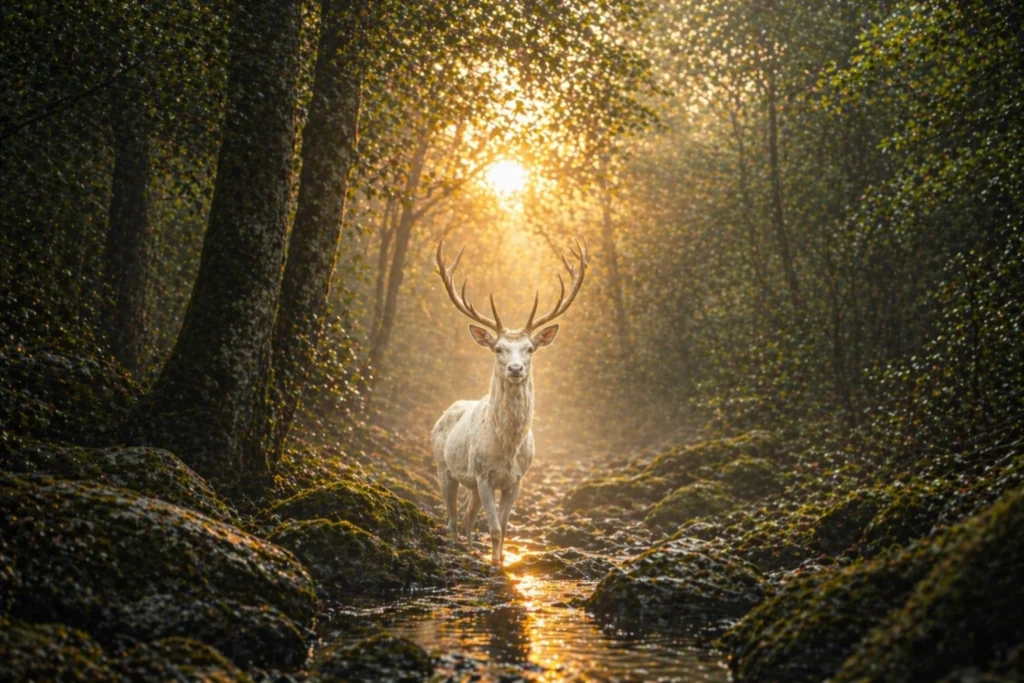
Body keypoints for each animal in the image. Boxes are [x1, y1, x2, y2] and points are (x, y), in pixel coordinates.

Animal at [431, 234, 589, 566]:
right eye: (498, 348)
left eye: (530, 348)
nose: (515, 369)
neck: (508, 447)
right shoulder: (484, 475)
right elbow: (492, 529)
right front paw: (494, 564)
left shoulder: (516, 480)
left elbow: (503, 527)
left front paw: (501, 561)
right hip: (443, 467)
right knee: (451, 518)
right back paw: (456, 547)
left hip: (471, 482)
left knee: (467, 516)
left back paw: (469, 548)